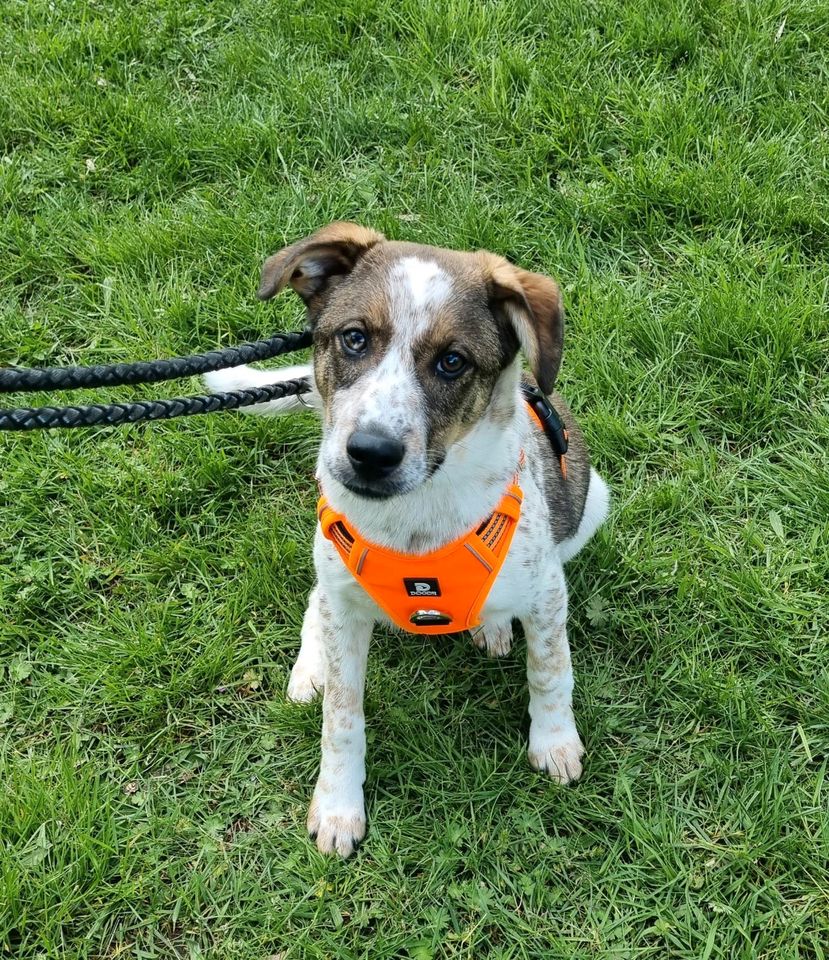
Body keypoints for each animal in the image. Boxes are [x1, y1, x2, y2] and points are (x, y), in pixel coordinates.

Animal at [207, 223, 608, 856]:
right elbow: (342, 718)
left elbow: (550, 671)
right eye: (353, 338)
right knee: (317, 599)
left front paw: (554, 742)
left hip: (591, 503)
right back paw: (311, 668)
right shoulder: (346, 603)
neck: (416, 514)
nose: (370, 453)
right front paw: (338, 807)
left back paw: (493, 626)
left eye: (452, 361)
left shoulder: (547, 592)